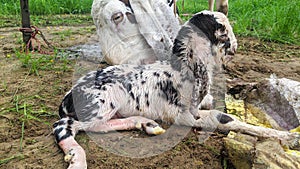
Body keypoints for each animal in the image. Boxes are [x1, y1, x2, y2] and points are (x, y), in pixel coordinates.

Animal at [52, 11, 298, 168]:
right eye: (224, 31)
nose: (235, 48)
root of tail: (68, 97)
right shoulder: (188, 115)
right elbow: (225, 118)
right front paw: (288, 138)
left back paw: (147, 124)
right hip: (104, 100)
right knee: (66, 126)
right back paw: (77, 161)